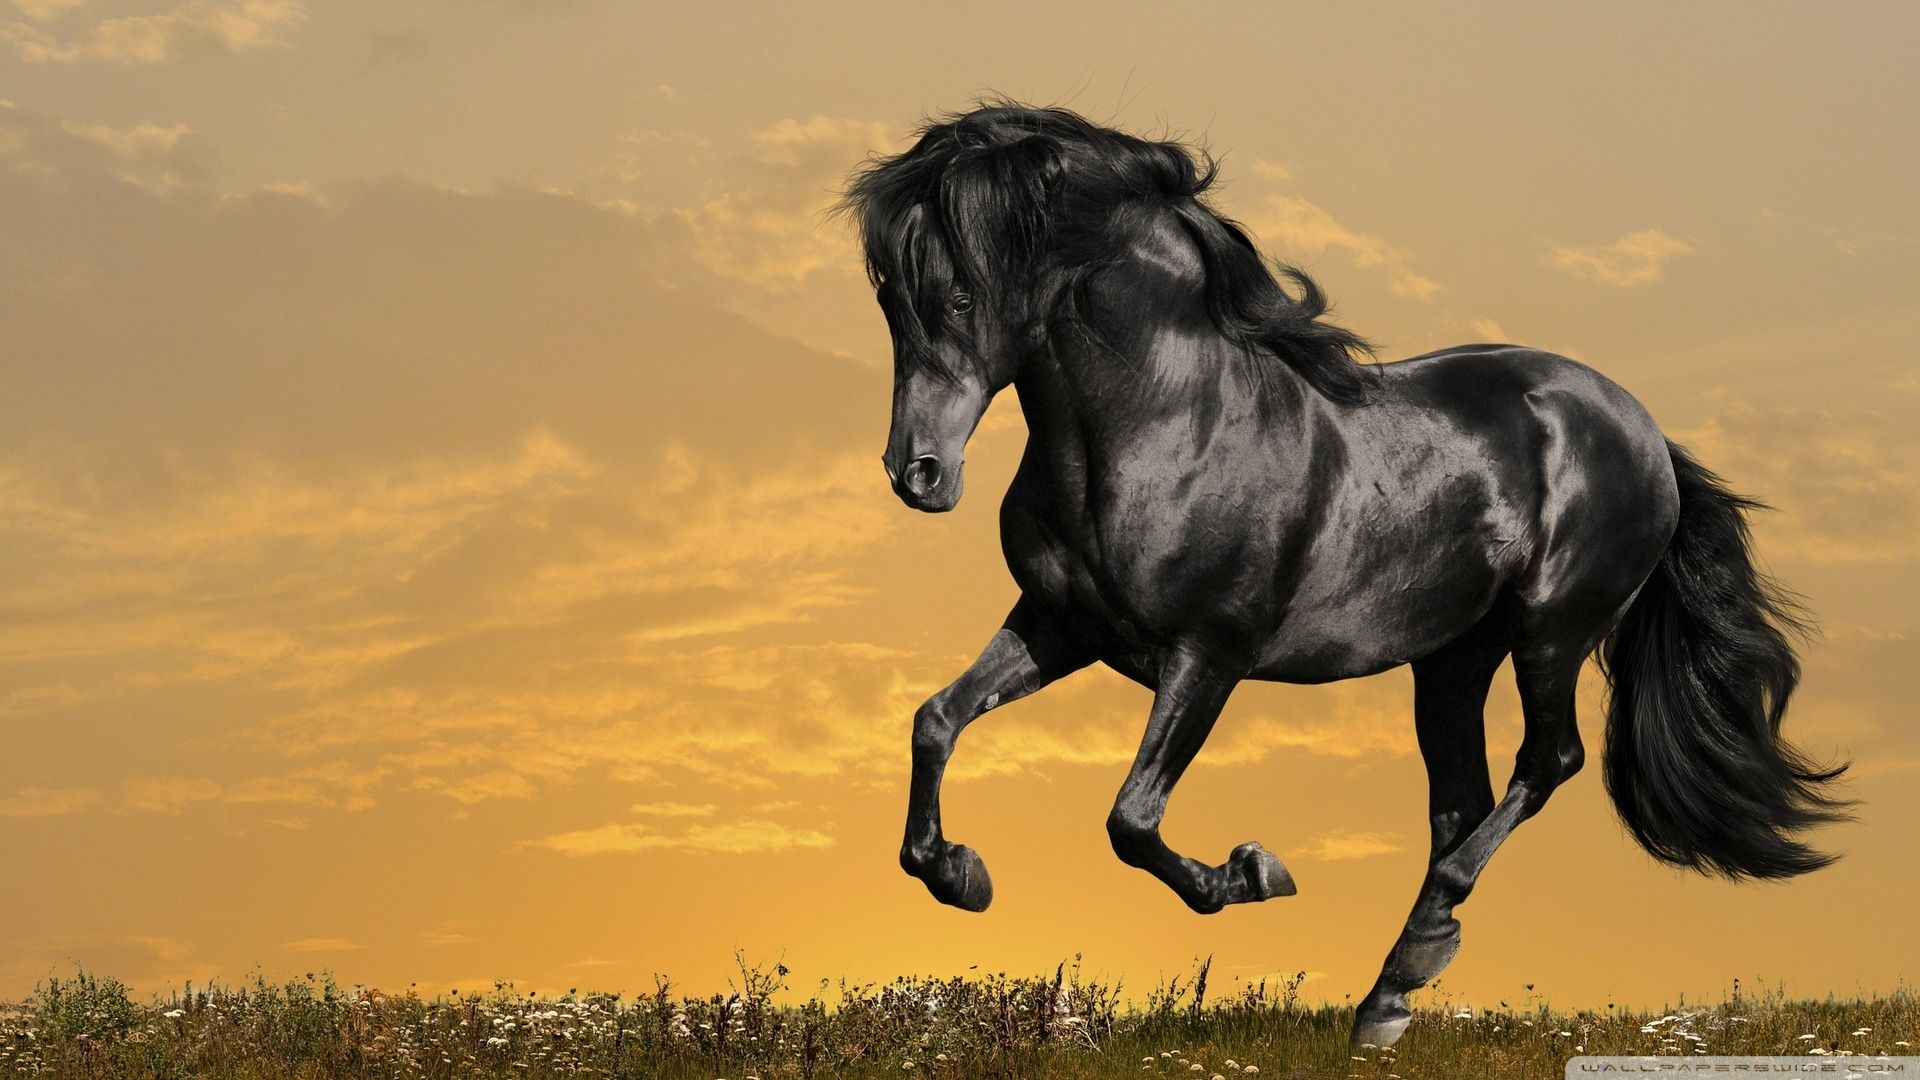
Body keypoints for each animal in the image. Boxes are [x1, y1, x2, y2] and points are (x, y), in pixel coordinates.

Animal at [837, 101, 1849, 1047]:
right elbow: (936, 721)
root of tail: (1642, 431)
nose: (917, 474)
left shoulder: (1208, 655)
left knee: (1546, 762)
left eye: (961, 297)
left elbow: (1132, 820)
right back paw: (1387, 999)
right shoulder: (1060, 627)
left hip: (1551, 632)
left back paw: (1415, 954)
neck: (1167, 425)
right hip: (1452, 660)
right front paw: (960, 875)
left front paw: (1252, 872)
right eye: (888, 297)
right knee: (1461, 802)